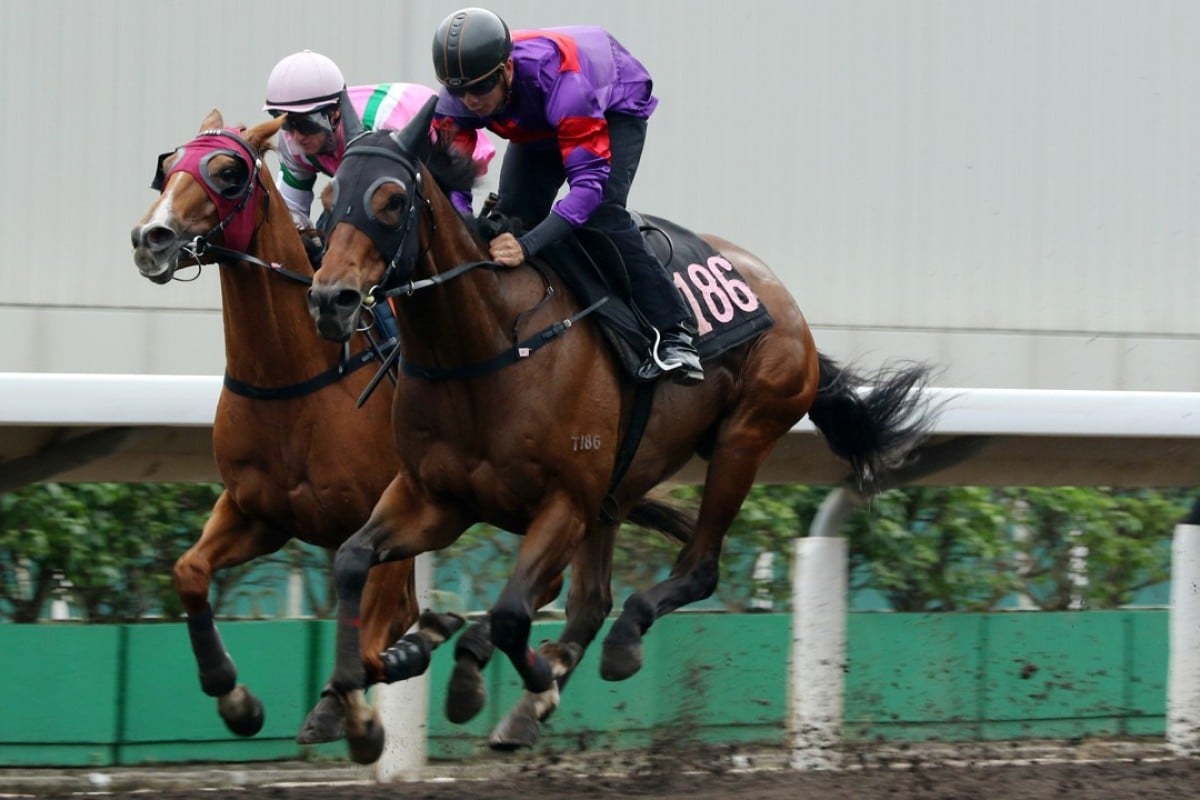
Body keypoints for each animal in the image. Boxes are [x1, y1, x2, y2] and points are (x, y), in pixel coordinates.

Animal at [129, 110, 465, 743]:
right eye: (168, 166)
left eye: (229, 172)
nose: (149, 239)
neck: (294, 379)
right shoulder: (258, 512)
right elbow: (189, 571)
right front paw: (235, 698)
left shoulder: (390, 519)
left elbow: (378, 636)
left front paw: (359, 707)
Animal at [302, 100, 936, 762]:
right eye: (329, 195)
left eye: (392, 199)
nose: (332, 300)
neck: (486, 347)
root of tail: (783, 300)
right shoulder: (435, 497)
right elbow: (353, 560)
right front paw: (352, 705)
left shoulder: (564, 501)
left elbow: (510, 613)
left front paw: (520, 677)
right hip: (622, 480)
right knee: (592, 601)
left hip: (745, 433)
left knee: (694, 568)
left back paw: (620, 641)